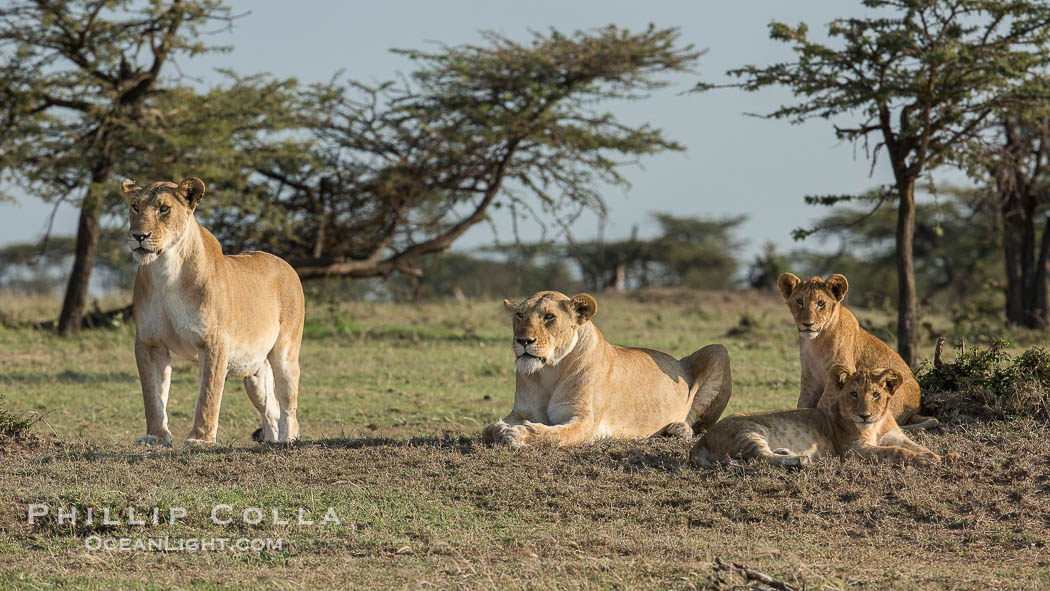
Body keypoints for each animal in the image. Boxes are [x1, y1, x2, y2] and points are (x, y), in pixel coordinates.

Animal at [122, 177, 305, 446]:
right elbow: (152, 395)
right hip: (255, 373)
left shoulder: (214, 342)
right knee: (270, 409)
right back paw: (271, 441)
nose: (139, 235)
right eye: (135, 207)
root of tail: (285, 264)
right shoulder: (149, 343)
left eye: (164, 209)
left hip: (285, 353)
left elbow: (208, 394)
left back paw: (287, 440)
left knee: (288, 403)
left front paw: (200, 439)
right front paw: (155, 437)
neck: (165, 270)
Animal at [481, 291, 733, 448]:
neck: (549, 371)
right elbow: (487, 429)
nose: (523, 340)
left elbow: (551, 434)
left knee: (699, 426)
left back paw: (678, 428)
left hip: (719, 349)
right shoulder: (520, 412)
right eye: (519, 315)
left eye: (549, 317)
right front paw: (500, 429)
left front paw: (517, 434)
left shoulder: (584, 421)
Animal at [690, 365, 942, 467]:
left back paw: (787, 452)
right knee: (760, 457)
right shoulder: (854, 450)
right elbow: (896, 451)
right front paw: (926, 460)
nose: (864, 415)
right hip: (750, 431)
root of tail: (701, 440)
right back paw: (800, 459)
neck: (878, 424)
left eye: (876, 395)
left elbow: (915, 446)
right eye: (853, 394)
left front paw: (941, 456)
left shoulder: (896, 436)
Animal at [776, 273, 937, 430]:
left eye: (821, 303)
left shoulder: (842, 370)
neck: (815, 341)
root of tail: (914, 411)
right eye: (799, 301)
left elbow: (824, 403)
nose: (807, 324)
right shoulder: (810, 377)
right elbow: (803, 403)